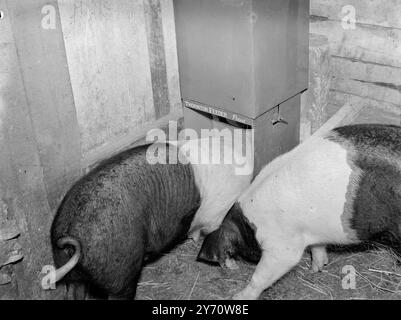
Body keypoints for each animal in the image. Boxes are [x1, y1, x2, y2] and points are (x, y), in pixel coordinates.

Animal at [49, 133, 250, 300]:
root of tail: (71, 234)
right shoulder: (218, 211)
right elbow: (218, 239)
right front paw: (233, 265)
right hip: (121, 273)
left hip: (70, 273)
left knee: (72, 293)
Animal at [198, 123, 400, 300]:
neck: (249, 224)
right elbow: (317, 247)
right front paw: (316, 269)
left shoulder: (282, 246)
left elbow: (262, 275)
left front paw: (238, 297)